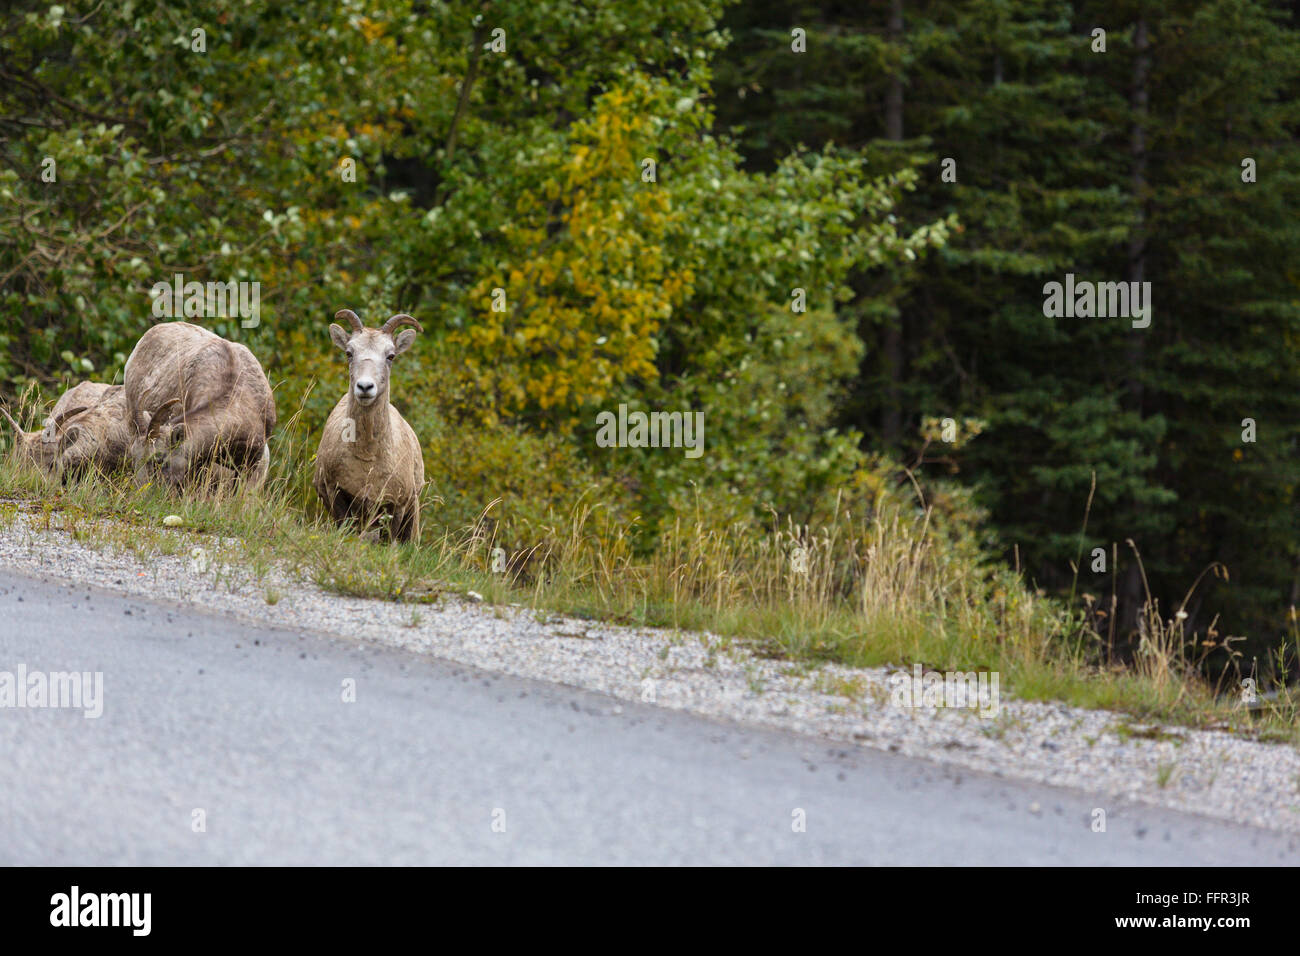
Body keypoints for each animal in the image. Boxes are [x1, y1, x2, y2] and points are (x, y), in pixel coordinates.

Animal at [309, 310, 421, 541]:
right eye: (349, 353)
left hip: (412, 516)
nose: (365, 387)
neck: (368, 458)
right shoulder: (337, 494)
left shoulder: (396, 507)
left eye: (391, 356)